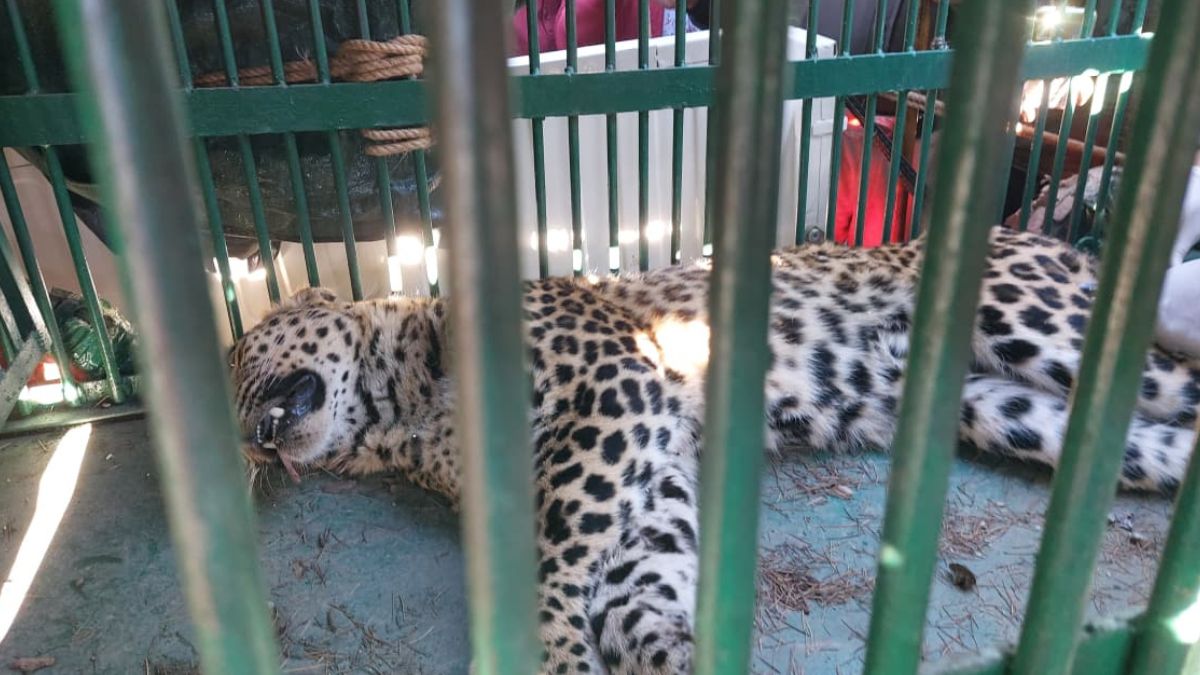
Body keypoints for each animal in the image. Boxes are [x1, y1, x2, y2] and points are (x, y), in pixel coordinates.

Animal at [228, 226, 1200, 675]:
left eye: (236, 359)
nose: (247, 444)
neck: (402, 405)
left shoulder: (615, 393)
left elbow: (550, 556)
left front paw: (551, 649)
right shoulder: (646, 468)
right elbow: (634, 596)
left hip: (1032, 317)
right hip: (1015, 408)